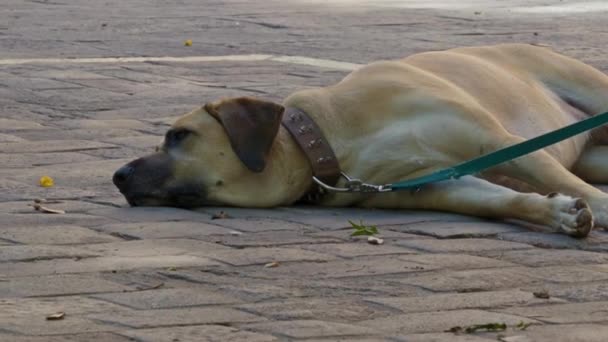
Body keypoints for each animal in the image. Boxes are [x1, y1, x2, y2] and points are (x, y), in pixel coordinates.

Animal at [113, 43, 608, 238]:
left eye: (179, 135)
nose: (117, 176)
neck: (329, 138)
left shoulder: (495, 140)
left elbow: (565, 182)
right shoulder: (439, 184)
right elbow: (503, 199)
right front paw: (556, 212)